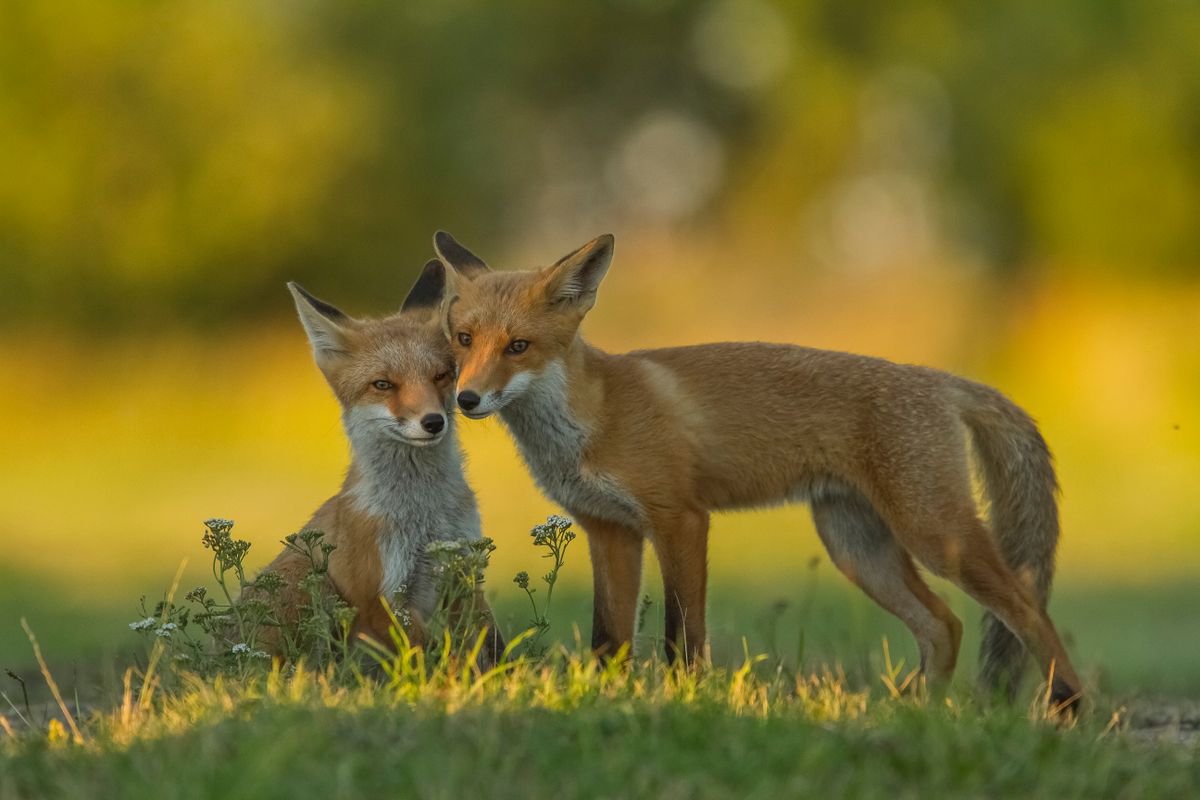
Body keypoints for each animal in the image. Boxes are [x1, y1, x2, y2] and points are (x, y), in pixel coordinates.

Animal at [241, 261, 504, 662]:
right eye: (383, 384)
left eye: (441, 375)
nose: (433, 422)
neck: (424, 512)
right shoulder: (380, 596)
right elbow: (427, 652)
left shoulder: (463, 570)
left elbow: (485, 641)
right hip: (309, 577)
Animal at [429, 232, 1080, 714]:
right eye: (463, 339)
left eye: (518, 346)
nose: (465, 400)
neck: (592, 419)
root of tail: (939, 379)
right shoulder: (609, 531)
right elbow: (608, 640)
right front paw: (607, 701)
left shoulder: (680, 520)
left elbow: (681, 636)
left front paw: (684, 702)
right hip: (857, 548)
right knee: (945, 625)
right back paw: (921, 714)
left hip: (935, 535)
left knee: (1027, 608)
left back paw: (1067, 709)